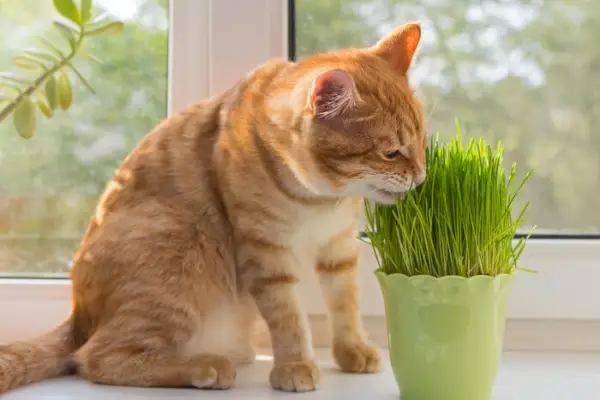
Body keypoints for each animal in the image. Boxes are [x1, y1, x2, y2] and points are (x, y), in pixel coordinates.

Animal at [0, 22, 426, 394]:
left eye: (422, 142)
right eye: (391, 153)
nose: (421, 177)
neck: (319, 200)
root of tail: (79, 315)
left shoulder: (338, 249)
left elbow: (345, 304)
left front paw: (351, 350)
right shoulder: (265, 254)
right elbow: (288, 317)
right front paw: (295, 365)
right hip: (177, 249)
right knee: (98, 358)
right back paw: (205, 367)